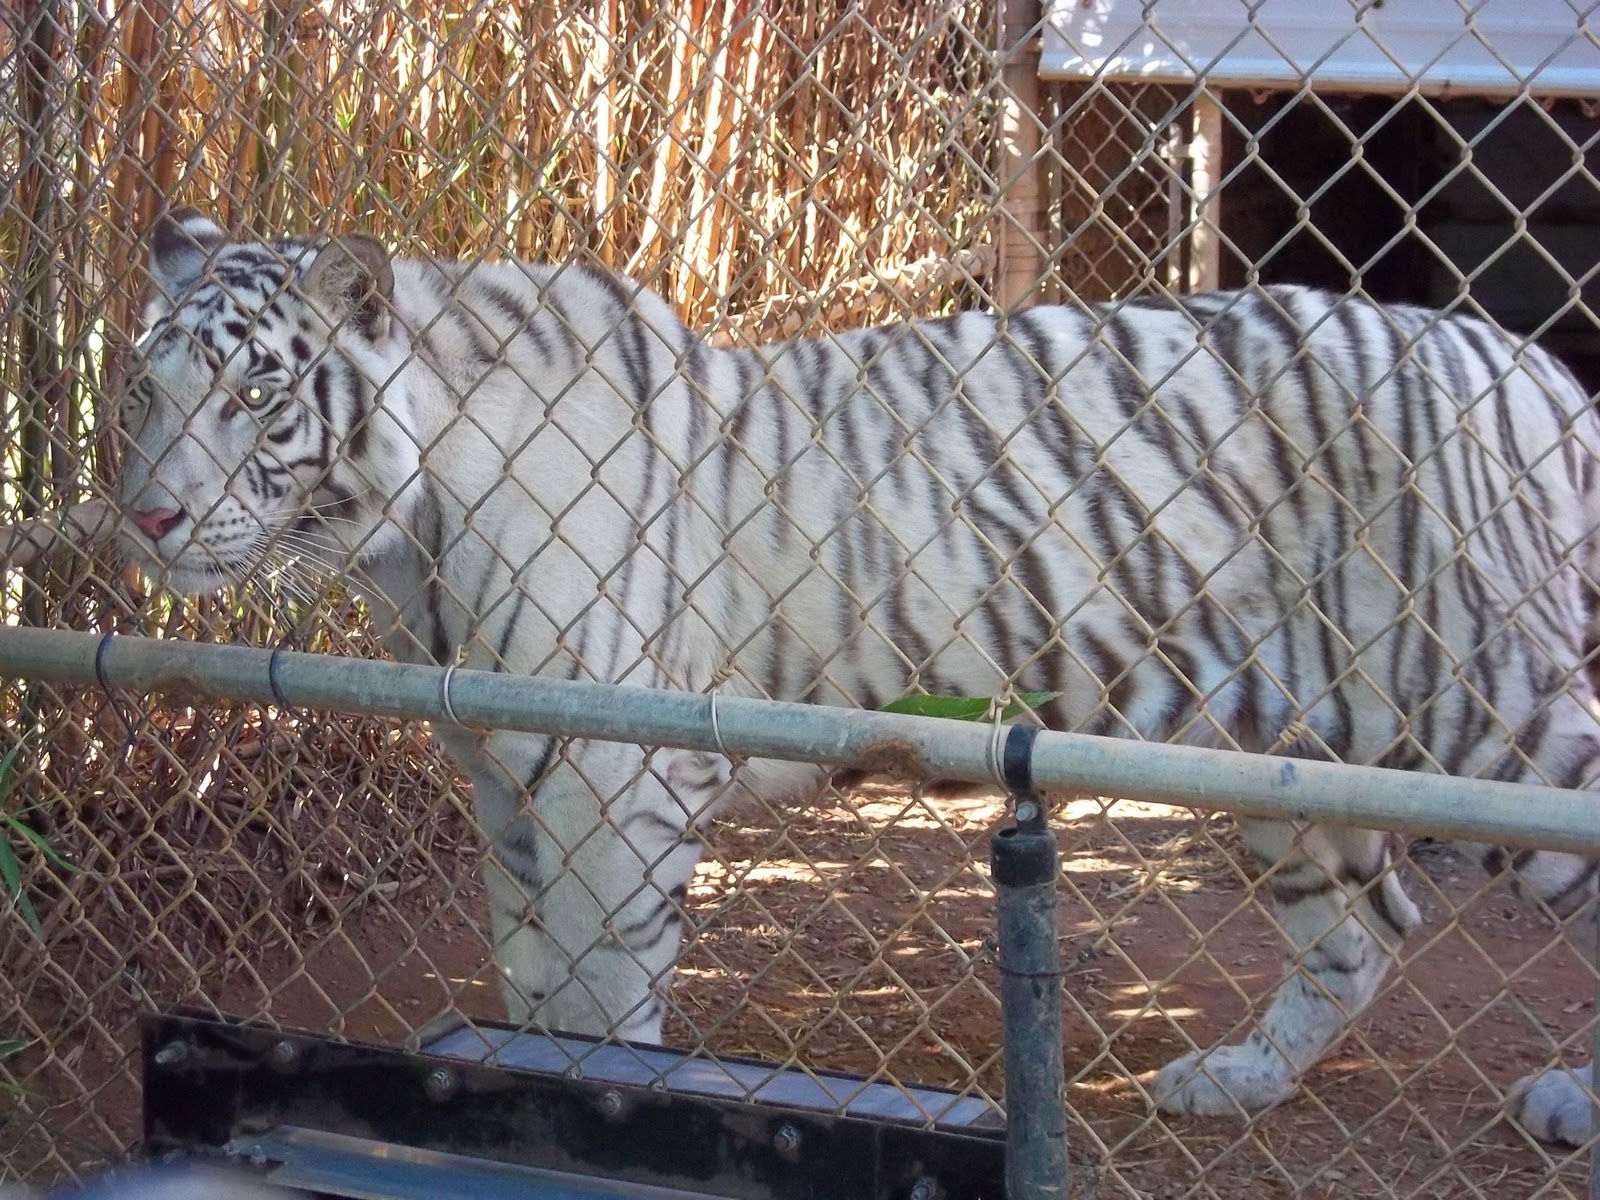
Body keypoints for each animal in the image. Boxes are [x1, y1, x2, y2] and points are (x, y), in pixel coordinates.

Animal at [118, 206, 1600, 1146]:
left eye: (256, 399)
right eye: (142, 394)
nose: (143, 517)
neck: (400, 542)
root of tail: (1534, 365)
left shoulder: (610, 782)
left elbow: (598, 1014)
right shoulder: (504, 778)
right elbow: (531, 988)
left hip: (1484, 705)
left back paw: (1566, 1105)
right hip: (1286, 746)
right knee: (1365, 931)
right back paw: (1232, 1080)